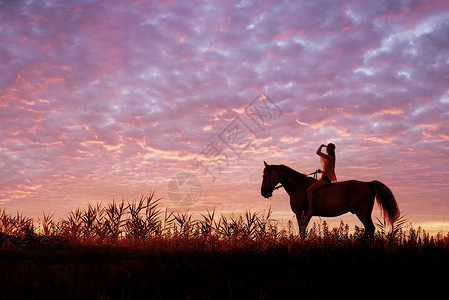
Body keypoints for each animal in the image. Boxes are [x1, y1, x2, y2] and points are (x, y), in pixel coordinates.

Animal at [260, 161, 400, 238]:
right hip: (365, 212)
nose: (263, 193)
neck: (298, 185)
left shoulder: (301, 213)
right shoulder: (306, 215)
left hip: (361, 211)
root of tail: (368, 183)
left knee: (370, 228)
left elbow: (302, 232)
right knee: (369, 229)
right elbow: (303, 231)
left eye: (264, 176)